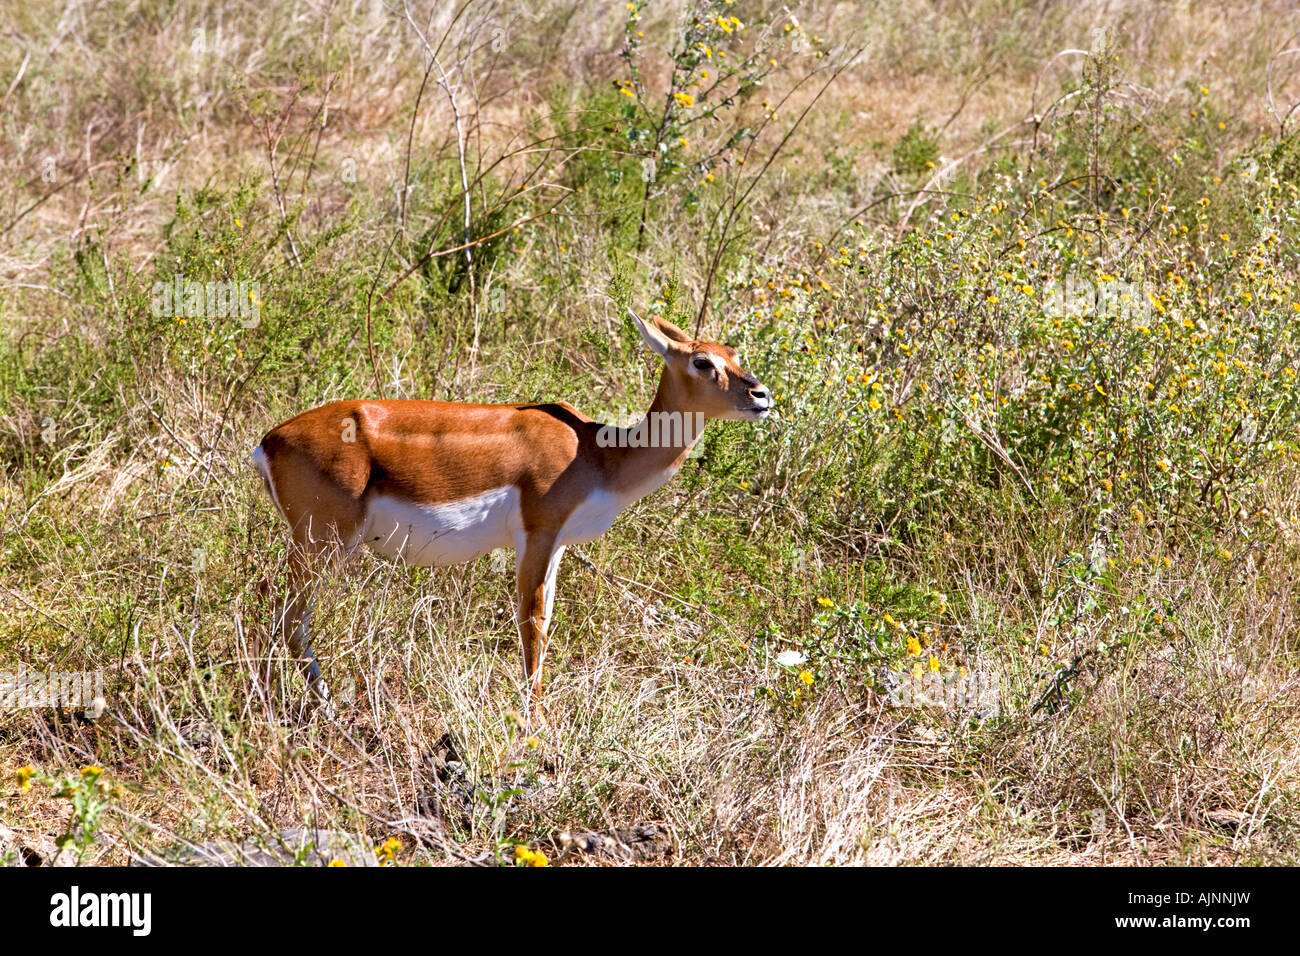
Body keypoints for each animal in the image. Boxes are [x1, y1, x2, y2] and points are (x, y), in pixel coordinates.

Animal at [253, 310, 769, 712]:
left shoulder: (558, 545)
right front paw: (534, 726)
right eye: (702, 361)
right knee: (282, 609)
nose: (761, 395)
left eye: (733, 353)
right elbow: (532, 621)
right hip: (325, 539)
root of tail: (270, 441)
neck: (599, 454)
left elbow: (546, 618)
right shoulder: (537, 533)